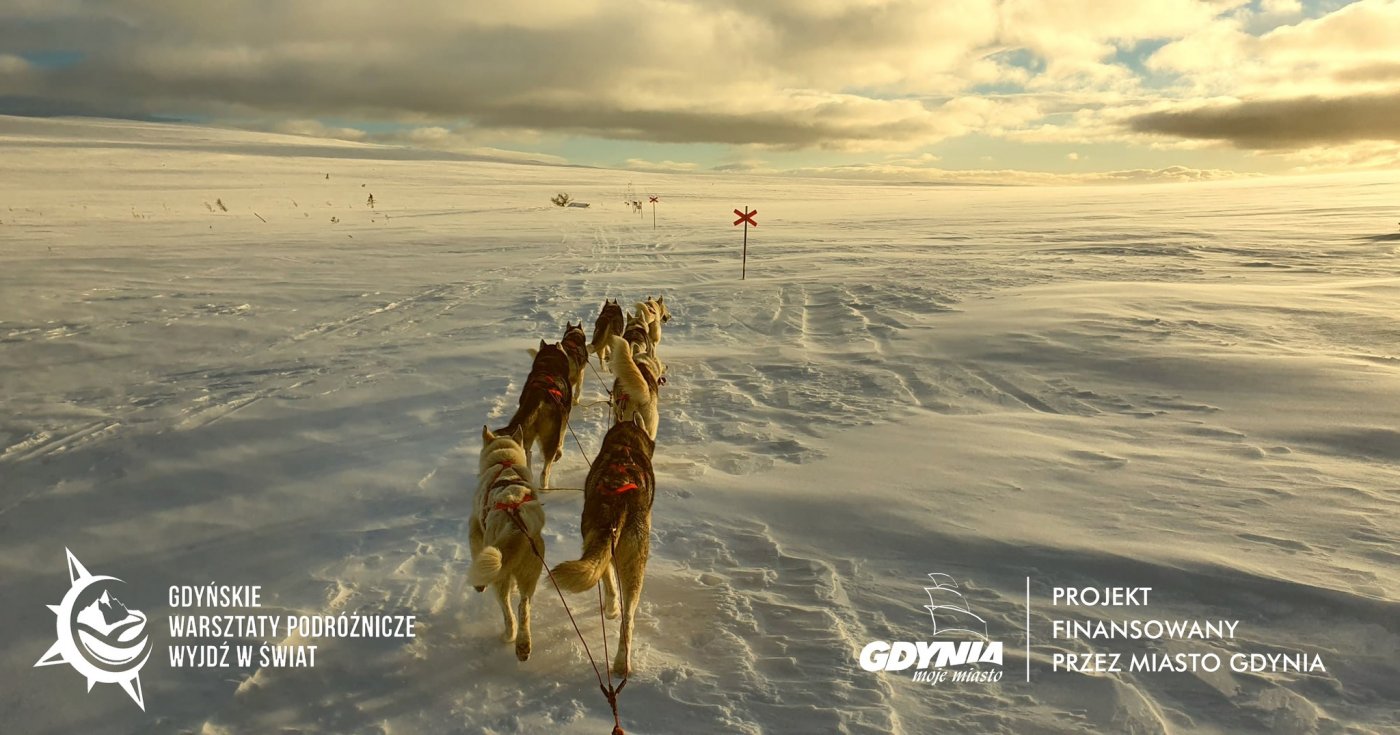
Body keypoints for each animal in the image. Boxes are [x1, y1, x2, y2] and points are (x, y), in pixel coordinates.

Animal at [464, 422, 540, 658]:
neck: (505, 462)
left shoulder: (474, 529)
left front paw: (478, 585)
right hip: (529, 574)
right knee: (524, 607)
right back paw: (523, 645)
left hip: (499, 577)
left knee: (508, 610)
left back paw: (509, 636)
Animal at [501, 341, 571, 490]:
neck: (549, 365)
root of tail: (540, 395)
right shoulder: (565, 417)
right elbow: (562, 438)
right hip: (551, 437)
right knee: (545, 471)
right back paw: (545, 487)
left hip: (524, 434)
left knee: (528, 456)